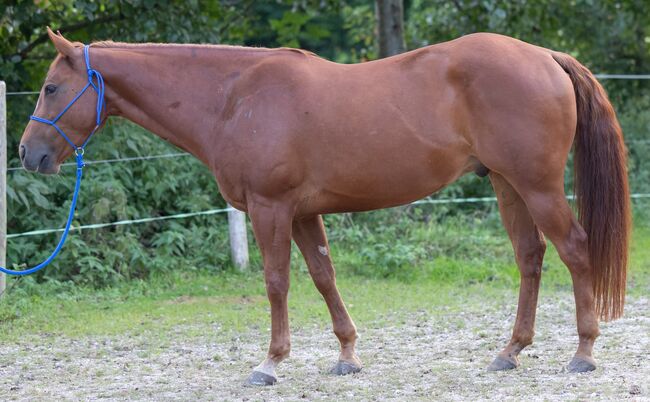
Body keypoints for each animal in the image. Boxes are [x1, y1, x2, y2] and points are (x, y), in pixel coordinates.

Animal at [21, 29, 628, 386]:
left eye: (51, 88)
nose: (29, 154)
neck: (233, 98)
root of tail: (545, 56)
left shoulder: (270, 208)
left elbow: (276, 282)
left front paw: (269, 363)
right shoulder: (303, 213)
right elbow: (323, 277)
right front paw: (347, 357)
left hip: (537, 186)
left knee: (574, 250)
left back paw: (583, 353)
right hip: (506, 184)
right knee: (530, 257)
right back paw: (510, 352)